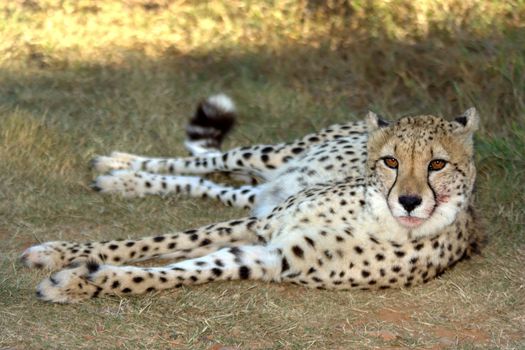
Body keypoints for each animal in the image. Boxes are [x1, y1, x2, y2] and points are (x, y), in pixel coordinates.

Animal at [22, 94, 486, 302]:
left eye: (437, 165)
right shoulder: (262, 224)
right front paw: (59, 254)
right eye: (391, 161)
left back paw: (125, 179)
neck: (378, 218)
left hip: (263, 190)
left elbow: (172, 270)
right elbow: (156, 242)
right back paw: (119, 166)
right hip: (269, 158)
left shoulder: (268, 257)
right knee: (205, 161)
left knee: (213, 184)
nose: (409, 201)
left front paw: (81, 280)